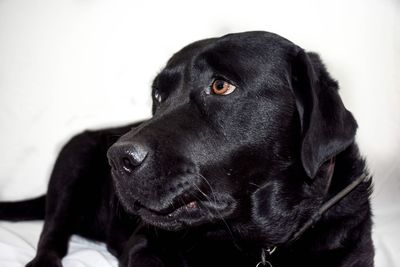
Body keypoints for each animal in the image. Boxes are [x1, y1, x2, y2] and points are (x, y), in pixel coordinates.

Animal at [0, 30, 376, 266]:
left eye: (221, 86)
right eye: (157, 95)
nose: (117, 158)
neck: (259, 242)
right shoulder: (143, 244)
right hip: (71, 165)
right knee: (51, 236)